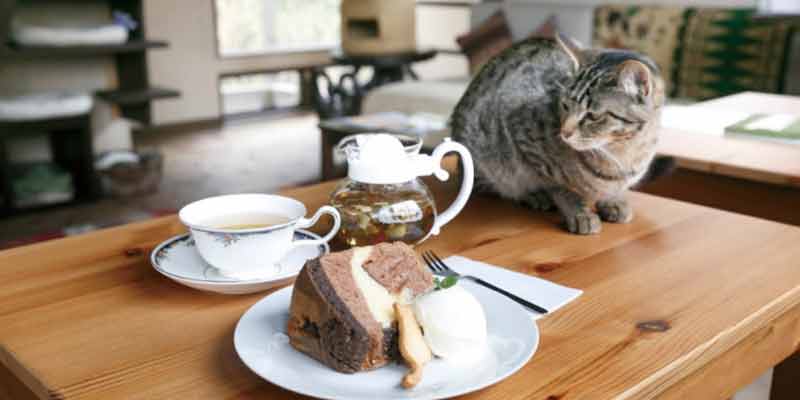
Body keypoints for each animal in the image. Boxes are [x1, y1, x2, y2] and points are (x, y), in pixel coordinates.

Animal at [454, 35, 664, 234]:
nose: (564, 132)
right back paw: (535, 196)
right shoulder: (525, 141)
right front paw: (579, 213)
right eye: (565, 105)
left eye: (593, 116)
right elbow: (560, 187)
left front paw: (612, 200)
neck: (621, 156)